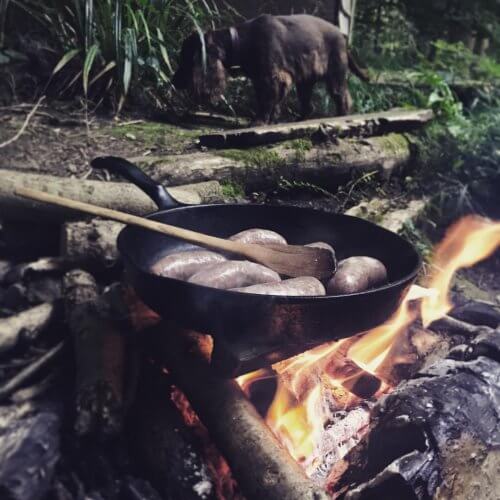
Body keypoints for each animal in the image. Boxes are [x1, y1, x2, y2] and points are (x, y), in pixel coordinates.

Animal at [174, 13, 370, 124]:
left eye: (185, 59)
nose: (173, 81)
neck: (240, 41)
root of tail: (342, 36)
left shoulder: (272, 77)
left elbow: (266, 101)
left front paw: (259, 121)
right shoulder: (261, 79)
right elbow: (269, 101)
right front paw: (270, 120)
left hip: (335, 75)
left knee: (343, 97)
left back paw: (341, 116)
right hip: (305, 82)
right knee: (308, 105)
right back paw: (299, 119)